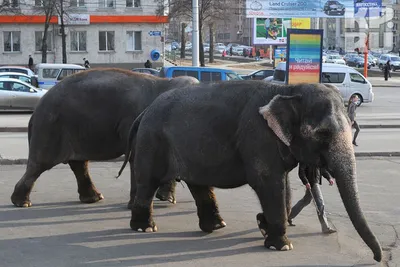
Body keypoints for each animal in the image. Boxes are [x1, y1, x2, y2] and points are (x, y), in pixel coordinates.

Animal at [11, 67, 200, 209]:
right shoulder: (135, 121)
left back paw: (94, 198)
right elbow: (137, 157)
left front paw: (167, 198)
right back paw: (22, 203)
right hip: (50, 129)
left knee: (79, 164)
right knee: (39, 164)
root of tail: (36, 110)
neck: (167, 84)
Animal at [118, 80, 382, 262]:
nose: (376, 258)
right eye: (323, 133)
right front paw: (282, 245)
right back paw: (145, 228)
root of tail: (145, 111)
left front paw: (263, 226)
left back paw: (216, 226)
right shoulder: (258, 137)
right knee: (148, 182)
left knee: (198, 184)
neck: (289, 88)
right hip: (152, 142)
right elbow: (268, 182)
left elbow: (283, 184)